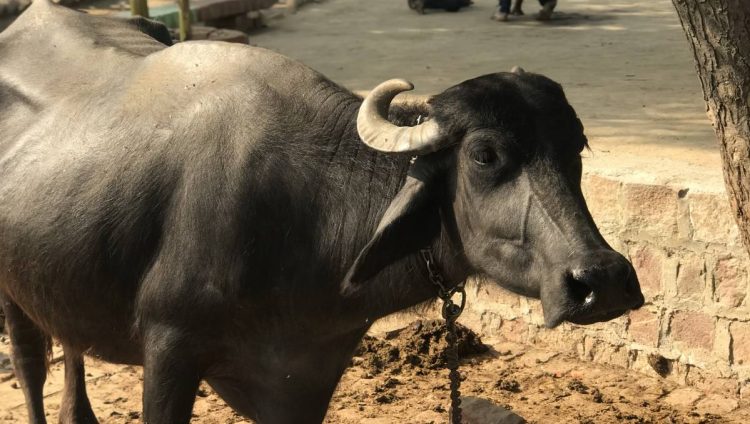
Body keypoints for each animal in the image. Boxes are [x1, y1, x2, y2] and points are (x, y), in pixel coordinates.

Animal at [0, 2, 643, 423]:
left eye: (576, 146)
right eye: (485, 155)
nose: (603, 279)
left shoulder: (303, 377)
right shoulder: (168, 350)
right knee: (30, 365)